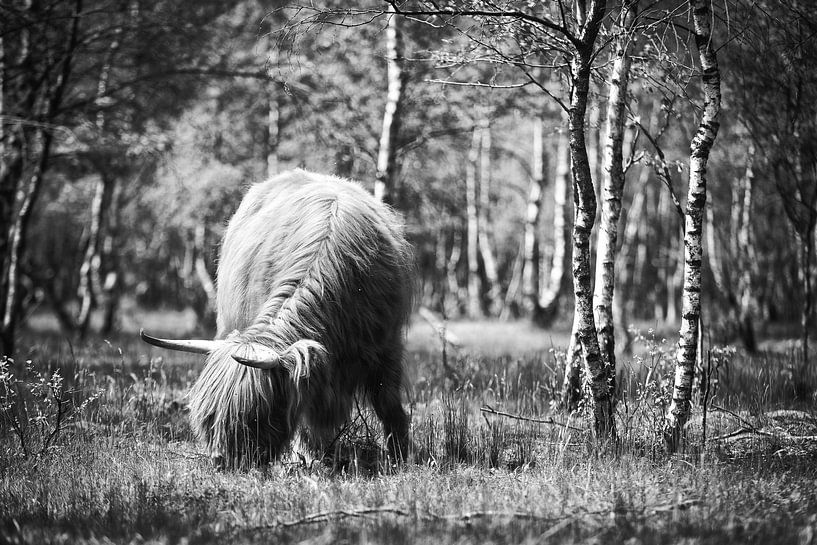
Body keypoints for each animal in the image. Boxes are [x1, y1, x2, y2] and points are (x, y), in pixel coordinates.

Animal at [139, 170, 414, 468]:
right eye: (208, 418)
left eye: (254, 417)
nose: (222, 460)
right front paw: (307, 455)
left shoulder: (386, 346)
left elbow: (388, 402)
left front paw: (400, 455)